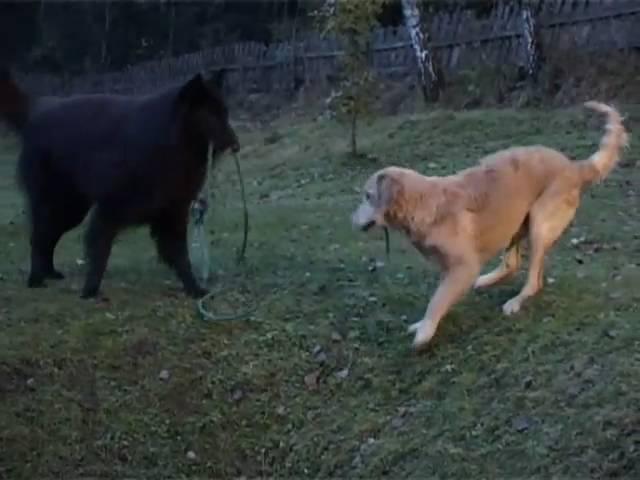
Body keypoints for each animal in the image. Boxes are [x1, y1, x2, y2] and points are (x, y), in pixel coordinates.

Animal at [0, 69, 240, 298]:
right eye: (210, 115)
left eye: (225, 113)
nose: (236, 146)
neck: (168, 141)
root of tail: (36, 111)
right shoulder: (109, 211)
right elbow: (100, 251)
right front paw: (90, 290)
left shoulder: (173, 214)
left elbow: (181, 257)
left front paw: (194, 289)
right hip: (56, 204)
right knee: (39, 237)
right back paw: (36, 279)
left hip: (71, 210)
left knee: (48, 236)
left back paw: (49, 273)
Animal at [352, 101, 628, 348]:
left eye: (367, 195)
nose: (351, 220)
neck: (423, 203)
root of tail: (574, 165)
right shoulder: (449, 268)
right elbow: (439, 296)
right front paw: (422, 325)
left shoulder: (463, 266)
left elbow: (437, 300)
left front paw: (424, 332)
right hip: (515, 223)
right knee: (512, 263)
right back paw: (486, 280)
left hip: (539, 222)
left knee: (533, 280)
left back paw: (516, 301)